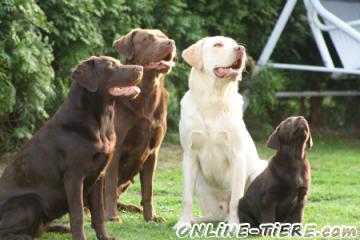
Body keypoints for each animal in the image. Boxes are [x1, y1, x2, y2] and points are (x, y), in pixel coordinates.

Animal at [0, 56, 142, 240]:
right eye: (111, 66)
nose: (141, 68)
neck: (101, 123)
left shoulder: (99, 175)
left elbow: (99, 214)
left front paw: (104, 237)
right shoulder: (74, 177)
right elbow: (78, 215)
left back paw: (60, 228)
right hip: (29, 202)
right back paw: (25, 236)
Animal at [102, 29, 176, 222]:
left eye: (164, 36)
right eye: (147, 38)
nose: (171, 42)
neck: (147, 94)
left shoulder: (153, 151)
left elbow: (148, 190)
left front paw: (151, 217)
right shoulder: (116, 148)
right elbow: (110, 186)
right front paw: (112, 217)